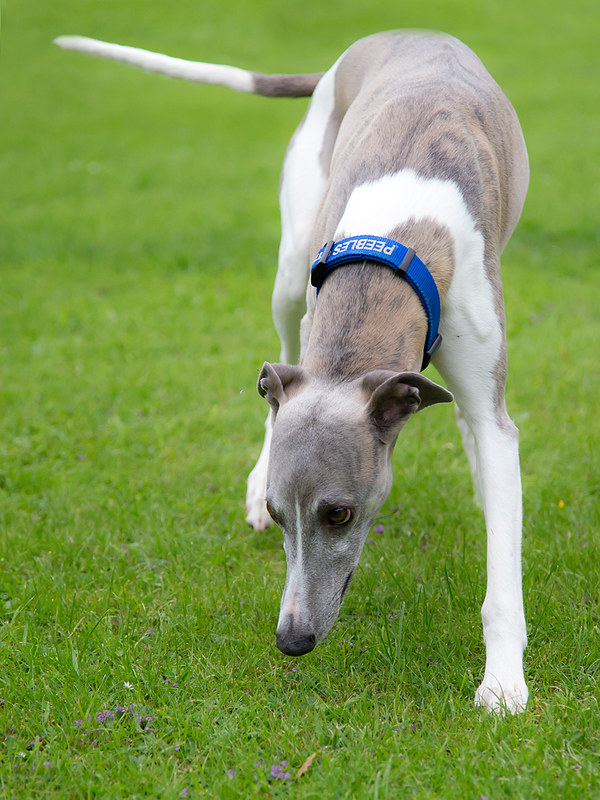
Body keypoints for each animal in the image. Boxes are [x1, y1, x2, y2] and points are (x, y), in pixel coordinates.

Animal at [55, 31, 529, 713]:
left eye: (340, 515)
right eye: (280, 514)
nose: (292, 640)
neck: (395, 249)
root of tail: (401, 35)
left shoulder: (491, 403)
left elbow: (498, 515)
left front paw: (502, 684)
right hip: (289, 272)